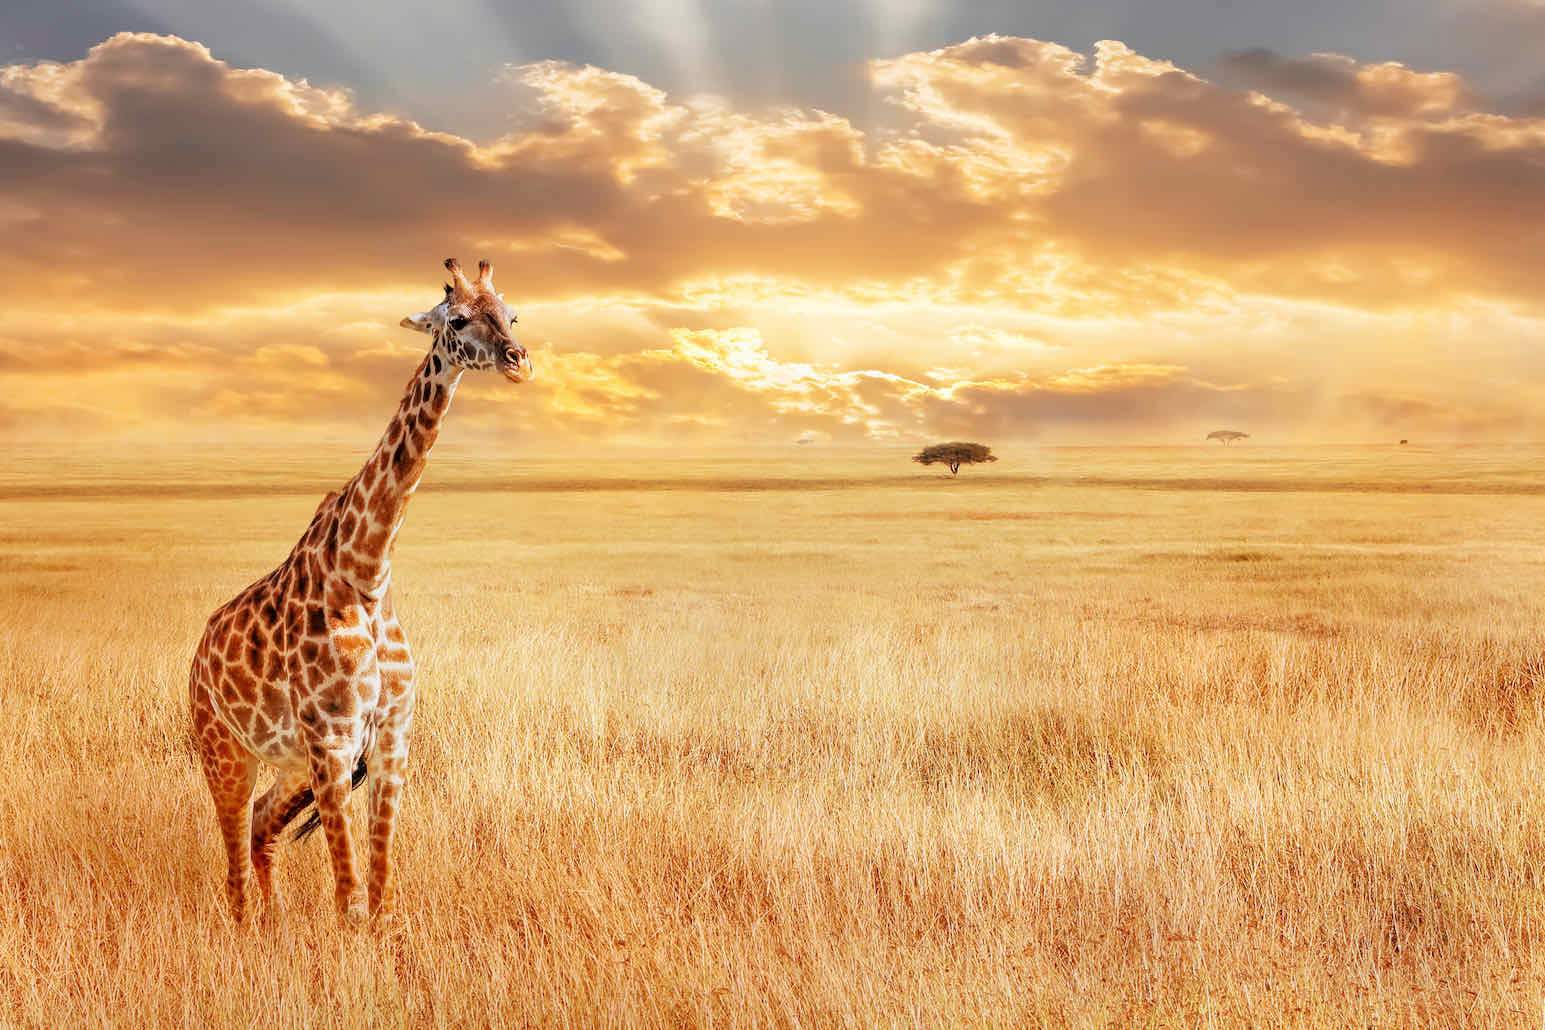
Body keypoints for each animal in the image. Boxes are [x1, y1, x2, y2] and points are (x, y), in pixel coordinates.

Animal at [188, 258, 530, 927]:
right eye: (456, 319)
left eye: (511, 313)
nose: (517, 359)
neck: (368, 572)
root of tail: (196, 657)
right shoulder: (332, 738)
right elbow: (348, 898)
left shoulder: (391, 737)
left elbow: (381, 892)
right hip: (225, 750)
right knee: (233, 858)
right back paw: (249, 928)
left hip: (292, 764)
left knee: (261, 829)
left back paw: (276, 924)